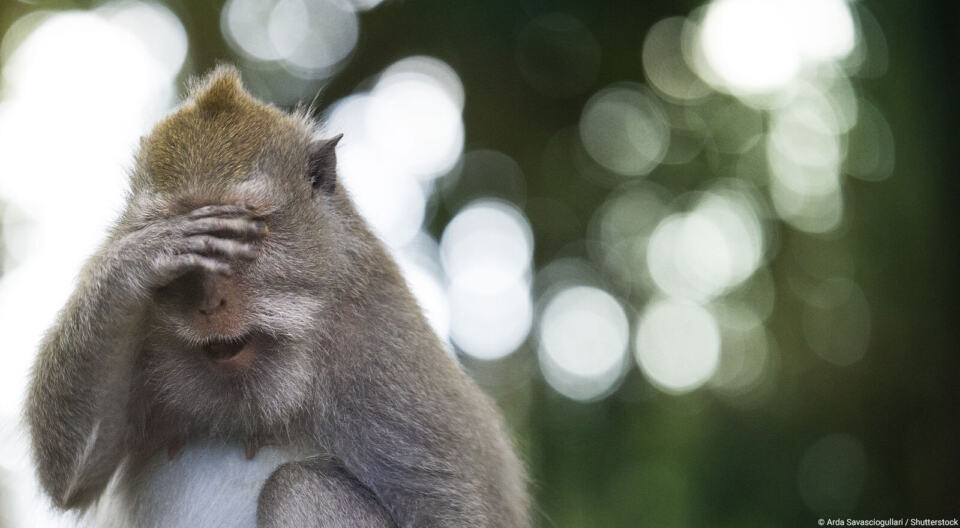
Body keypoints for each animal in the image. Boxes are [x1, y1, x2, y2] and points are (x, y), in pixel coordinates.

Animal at [22, 66, 528, 528]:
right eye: (186, 230)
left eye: (247, 227)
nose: (208, 304)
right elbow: (71, 473)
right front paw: (143, 253)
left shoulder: (383, 351)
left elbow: (450, 513)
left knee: (298, 487)